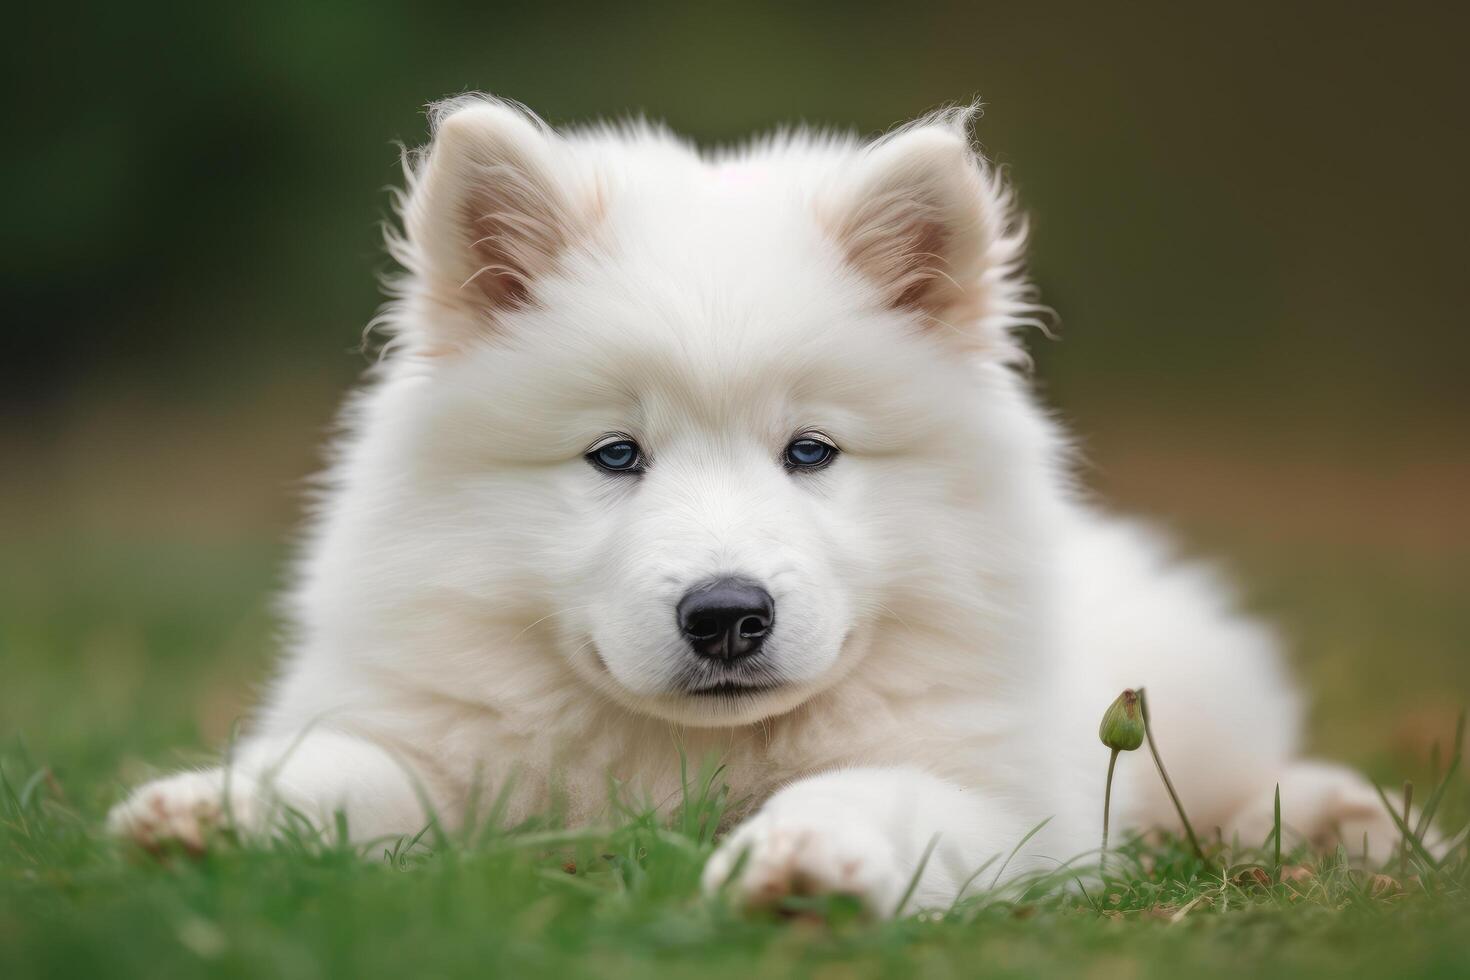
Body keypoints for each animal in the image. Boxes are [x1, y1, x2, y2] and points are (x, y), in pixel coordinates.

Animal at [108, 95, 1393, 916]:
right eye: (616, 453)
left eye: (810, 450)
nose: (726, 613)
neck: (683, 755)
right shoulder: (424, 740)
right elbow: (340, 771)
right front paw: (209, 813)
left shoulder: (1007, 794)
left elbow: (864, 786)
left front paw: (808, 860)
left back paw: (1354, 826)